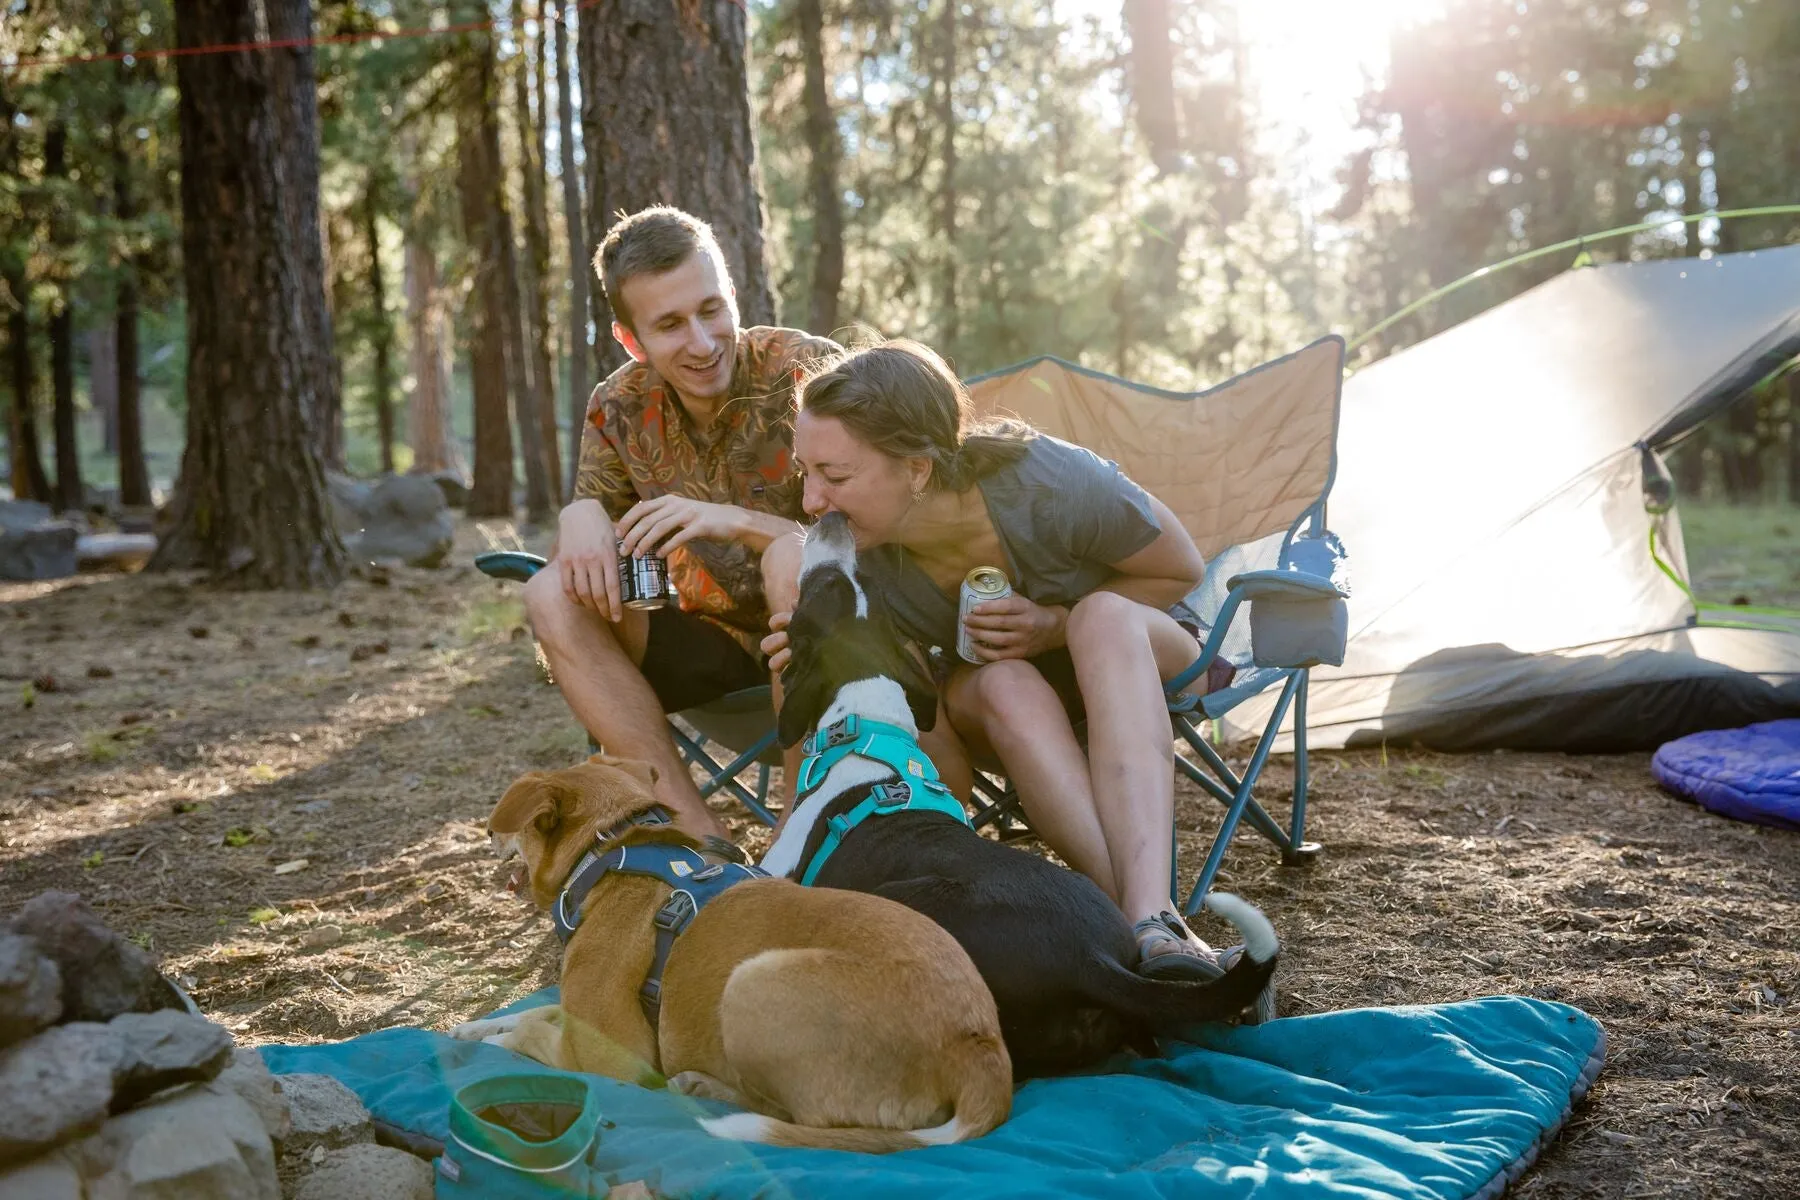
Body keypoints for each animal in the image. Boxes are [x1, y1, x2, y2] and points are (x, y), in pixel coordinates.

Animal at [450, 755, 1015, 1158]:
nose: (487, 833)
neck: (609, 855)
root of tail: (980, 1045)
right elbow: (535, 1010)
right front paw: (472, 1029)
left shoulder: (616, 1058)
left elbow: (530, 1028)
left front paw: (498, 1040)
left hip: (753, 981)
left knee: (799, 1119)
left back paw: (704, 1088)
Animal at [763, 518, 1281, 1079]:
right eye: (860, 589)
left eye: (822, 588)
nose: (831, 521)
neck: (866, 721)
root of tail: (1092, 958)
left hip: (903, 905)